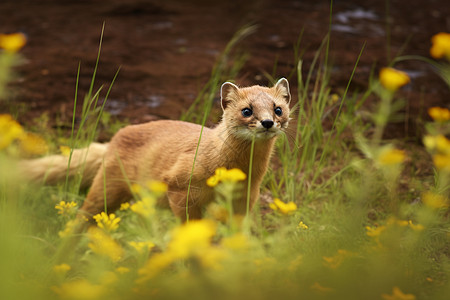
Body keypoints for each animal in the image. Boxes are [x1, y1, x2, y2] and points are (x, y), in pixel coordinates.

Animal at [22, 79, 292, 220]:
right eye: (247, 110)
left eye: (278, 109)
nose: (268, 122)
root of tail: (115, 138)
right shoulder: (180, 186)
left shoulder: (246, 199)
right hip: (106, 187)